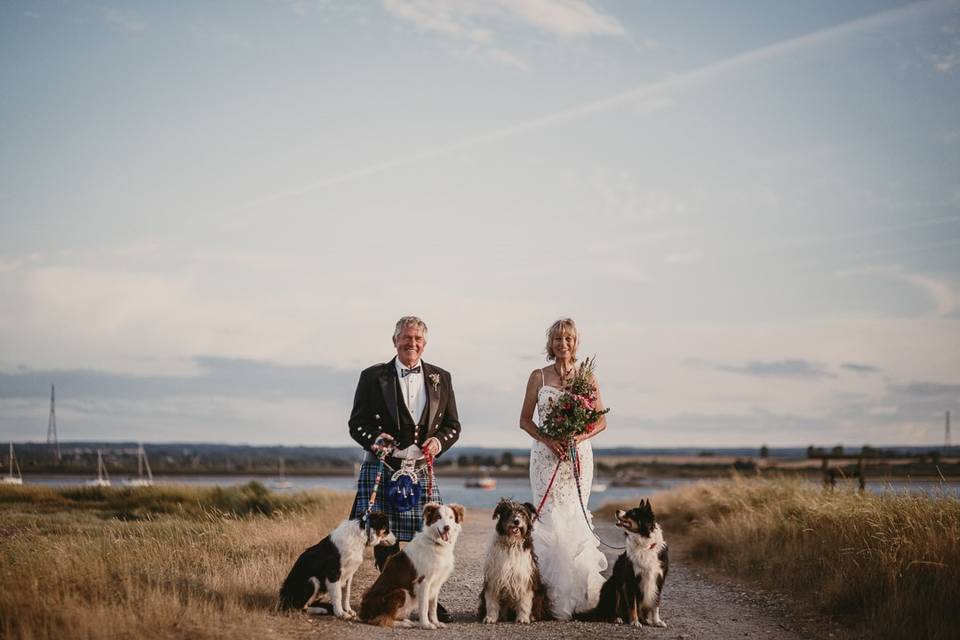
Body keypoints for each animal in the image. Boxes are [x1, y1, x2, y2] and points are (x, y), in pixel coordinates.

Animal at [360, 500, 464, 632]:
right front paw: (426, 625)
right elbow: (424, 606)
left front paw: (436, 622)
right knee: (382, 619)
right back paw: (403, 623)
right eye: (438, 517)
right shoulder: (423, 581)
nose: (447, 527)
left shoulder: (437, 582)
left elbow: (433, 606)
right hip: (401, 591)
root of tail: (363, 612)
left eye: (451, 517)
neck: (435, 542)